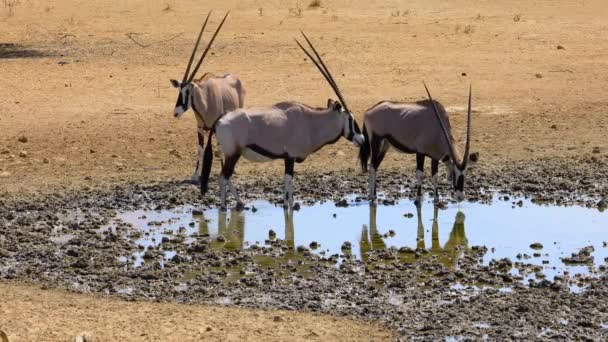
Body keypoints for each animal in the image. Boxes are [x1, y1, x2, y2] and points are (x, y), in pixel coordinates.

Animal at [169, 10, 245, 192]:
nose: (176, 112)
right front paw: (195, 176)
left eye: (188, 91)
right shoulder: (200, 127)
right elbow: (200, 149)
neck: (204, 101)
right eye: (179, 90)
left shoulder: (214, 127)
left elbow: (217, 149)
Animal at [207, 32, 364, 210]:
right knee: (223, 178)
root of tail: (220, 120)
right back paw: (224, 206)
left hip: (232, 154)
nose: (361, 139)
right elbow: (289, 182)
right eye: (350, 118)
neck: (310, 121)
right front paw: (290, 205)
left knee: (226, 177)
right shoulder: (290, 157)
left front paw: (285, 205)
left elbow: (287, 182)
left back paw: (239, 203)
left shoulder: (287, 158)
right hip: (233, 154)